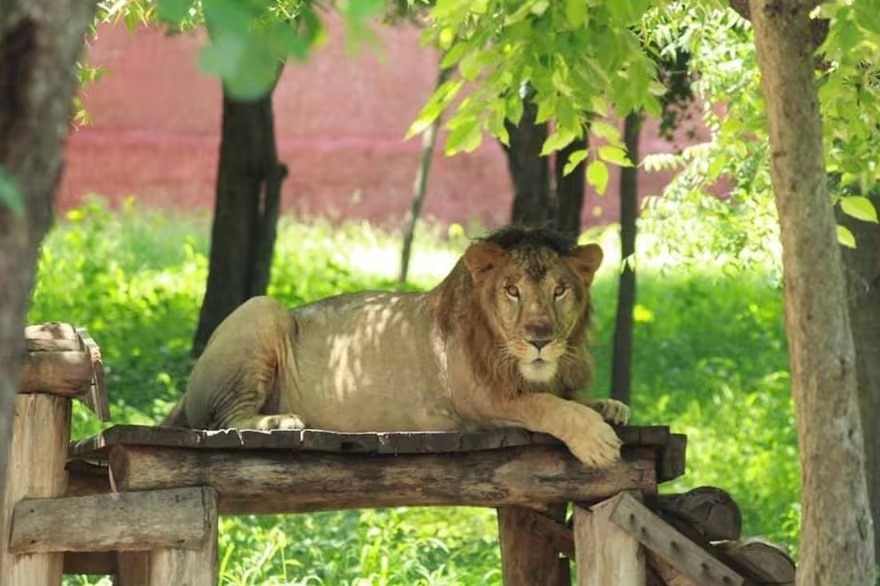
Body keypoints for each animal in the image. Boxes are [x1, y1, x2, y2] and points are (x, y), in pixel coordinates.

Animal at [165, 224, 628, 466]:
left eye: (560, 291)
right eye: (512, 290)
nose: (539, 339)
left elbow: (568, 399)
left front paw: (609, 406)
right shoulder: (478, 399)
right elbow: (545, 405)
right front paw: (597, 440)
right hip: (263, 309)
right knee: (225, 419)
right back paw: (281, 421)